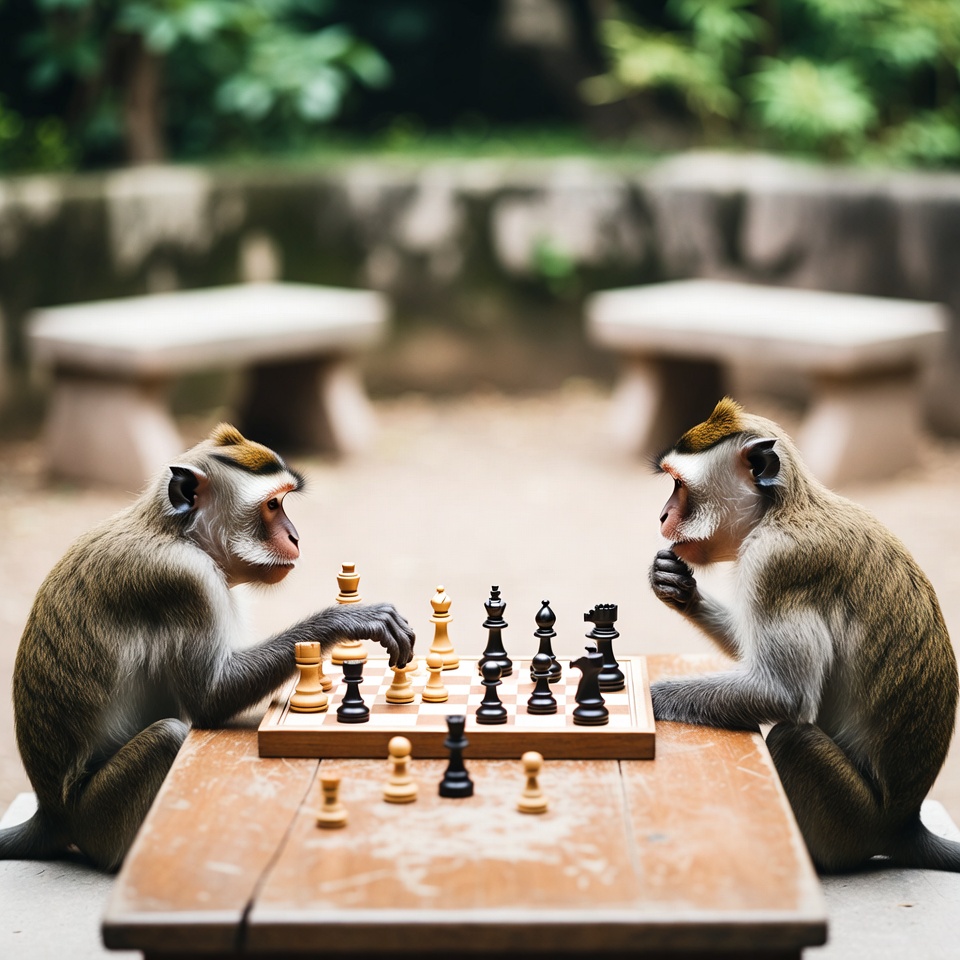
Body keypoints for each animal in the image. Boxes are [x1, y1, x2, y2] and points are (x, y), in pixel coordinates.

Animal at [0, 423, 415, 871]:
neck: (177, 533)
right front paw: (349, 620)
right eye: (272, 505)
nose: (295, 536)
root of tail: (51, 813)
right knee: (168, 735)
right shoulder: (185, 581)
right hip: (96, 820)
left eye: (283, 502)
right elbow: (208, 699)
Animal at [649, 397, 960, 873]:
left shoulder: (775, 564)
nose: (663, 515)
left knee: (794, 738)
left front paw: (648, 696)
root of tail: (905, 823)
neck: (780, 510)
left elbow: (784, 694)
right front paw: (678, 589)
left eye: (679, 485)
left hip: (854, 822)